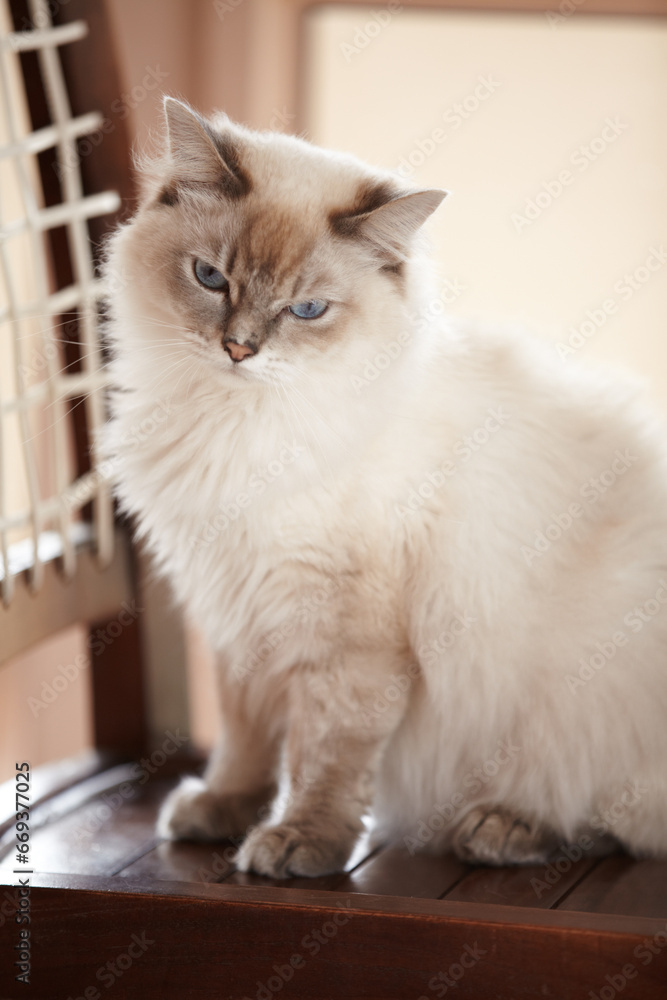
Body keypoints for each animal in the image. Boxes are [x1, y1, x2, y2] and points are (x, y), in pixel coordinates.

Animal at [104, 97, 667, 872]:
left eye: (307, 311)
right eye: (210, 278)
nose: (239, 349)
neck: (236, 426)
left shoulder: (345, 636)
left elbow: (325, 755)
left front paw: (298, 844)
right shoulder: (237, 615)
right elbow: (245, 742)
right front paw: (221, 809)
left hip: (583, 698)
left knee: (610, 812)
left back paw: (504, 828)